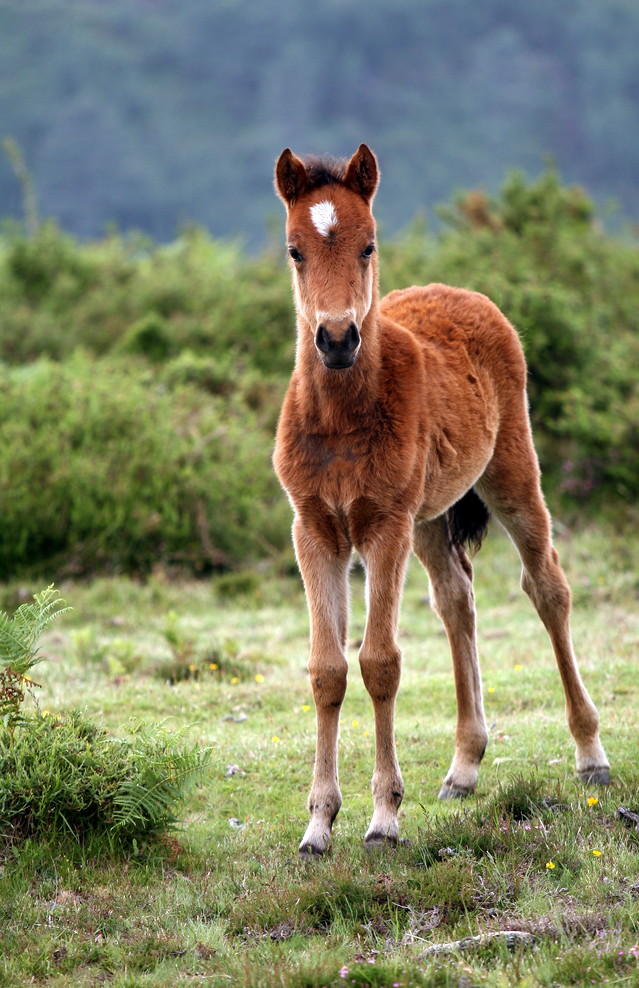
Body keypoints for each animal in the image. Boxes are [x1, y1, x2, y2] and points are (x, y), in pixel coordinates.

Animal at [272, 141, 612, 856]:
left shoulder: (383, 527)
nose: (336, 339)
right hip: (428, 519)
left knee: (548, 587)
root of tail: (465, 293)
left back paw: (591, 754)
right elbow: (326, 669)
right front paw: (318, 824)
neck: (341, 420)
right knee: (457, 601)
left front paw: (383, 819)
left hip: (509, 475)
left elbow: (379, 662)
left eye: (368, 245)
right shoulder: (314, 529)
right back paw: (464, 766)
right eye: (295, 250)